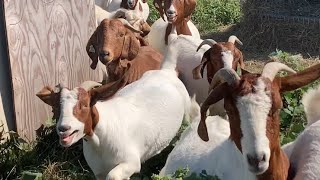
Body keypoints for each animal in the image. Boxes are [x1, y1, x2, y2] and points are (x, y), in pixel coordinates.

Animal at [36, 41, 194, 179]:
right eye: (57, 107)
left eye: (85, 105)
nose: (63, 128)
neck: (99, 142)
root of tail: (166, 71)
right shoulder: (98, 172)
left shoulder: (131, 162)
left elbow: (113, 175)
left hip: (187, 113)